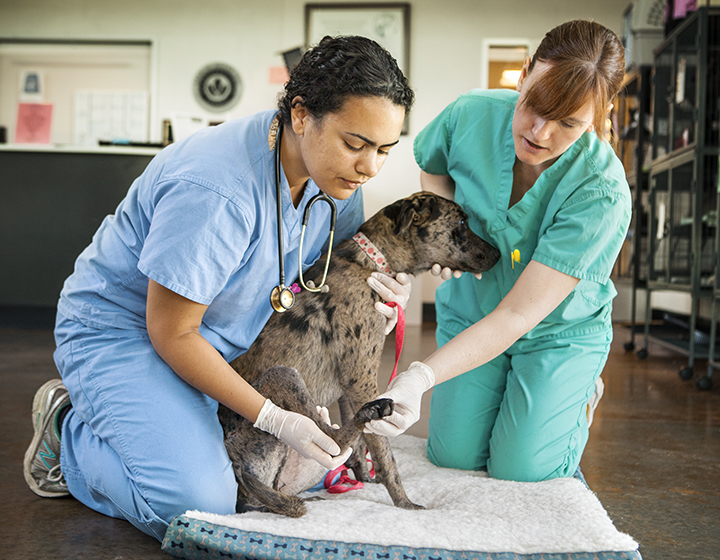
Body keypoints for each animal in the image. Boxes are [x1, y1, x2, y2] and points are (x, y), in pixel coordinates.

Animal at [219, 191, 500, 516]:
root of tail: (240, 481)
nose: (498, 254)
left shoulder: (349, 387)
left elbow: (364, 446)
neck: (373, 263)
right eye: (462, 222)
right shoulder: (361, 379)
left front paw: (364, 477)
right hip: (283, 377)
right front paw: (404, 502)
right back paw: (370, 414)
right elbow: (384, 451)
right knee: (332, 439)